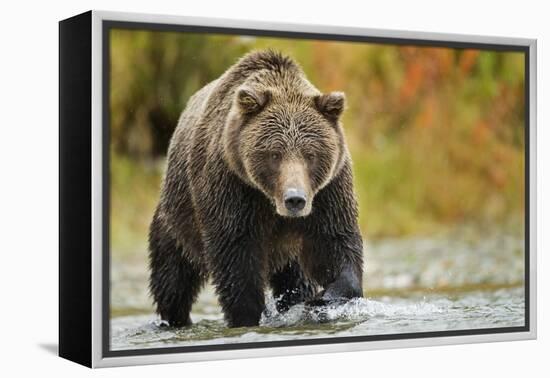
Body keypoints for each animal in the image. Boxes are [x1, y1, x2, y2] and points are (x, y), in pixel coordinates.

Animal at [151, 50, 364, 328]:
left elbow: (334, 244)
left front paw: (322, 299)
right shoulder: (232, 187)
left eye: (310, 155)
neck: (269, 201)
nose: (295, 199)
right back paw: (175, 320)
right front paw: (248, 315)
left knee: (295, 278)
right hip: (177, 219)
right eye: (275, 154)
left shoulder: (328, 192)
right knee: (173, 278)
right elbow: (236, 258)